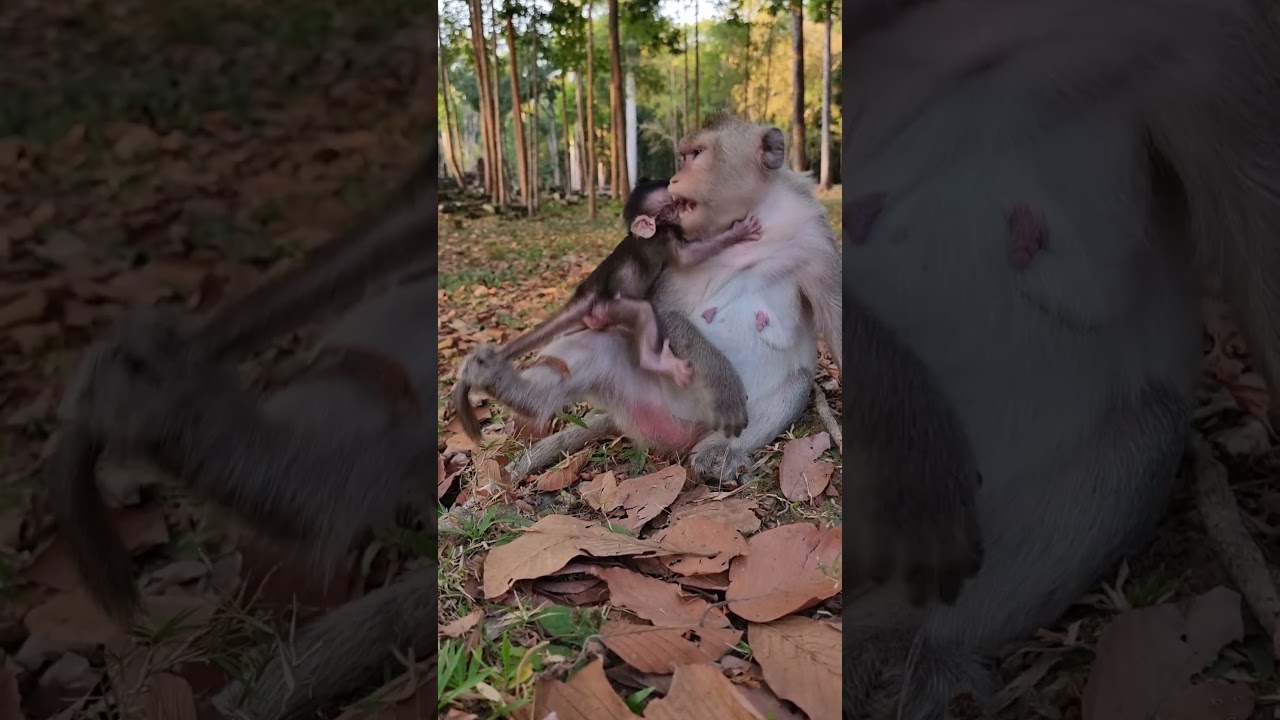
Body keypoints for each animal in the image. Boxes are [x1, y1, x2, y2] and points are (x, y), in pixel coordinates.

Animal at [451, 177, 763, 443]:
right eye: (671, 204)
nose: (684, 202)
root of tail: (588, 291)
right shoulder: (665, 239)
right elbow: (688, 257)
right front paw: (737, 232)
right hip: (608, 307)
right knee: (642, 312)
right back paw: (656, 361)